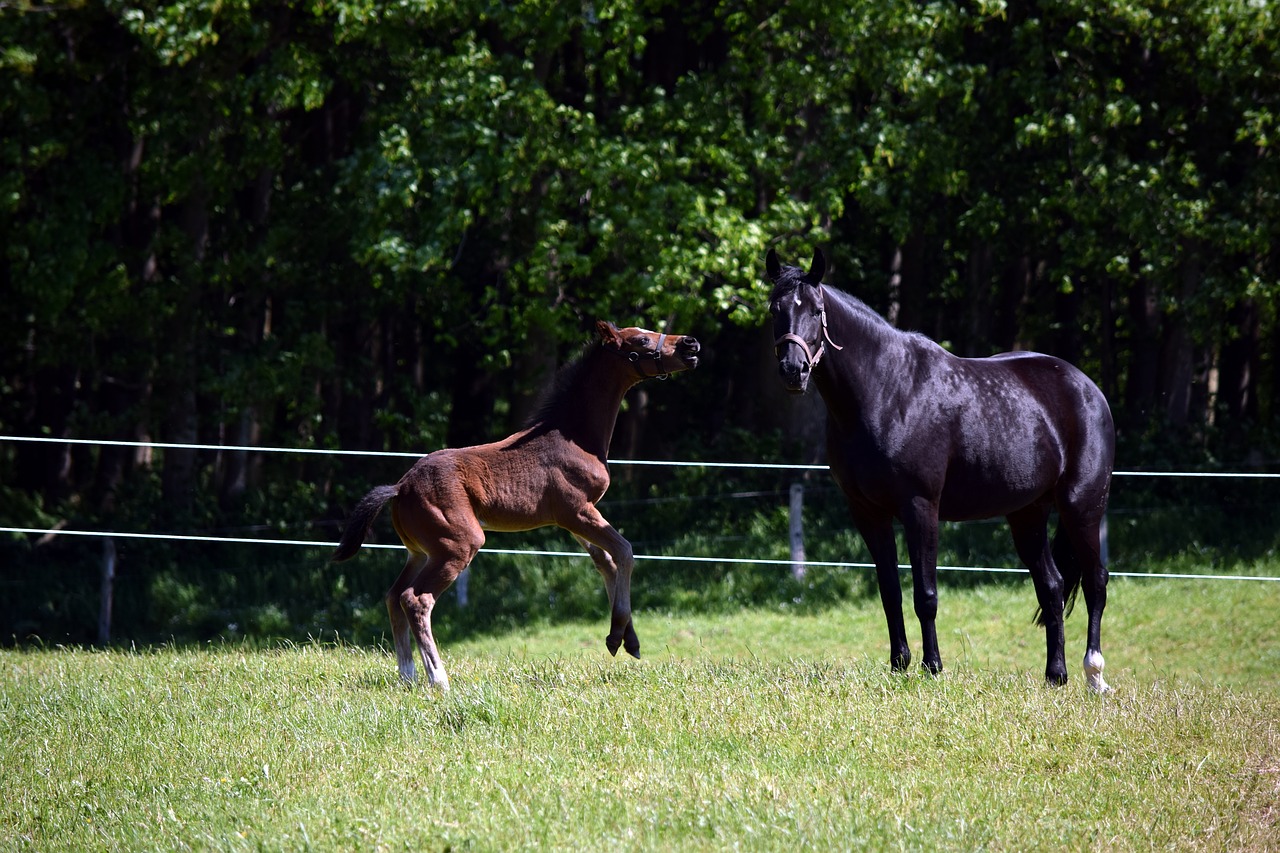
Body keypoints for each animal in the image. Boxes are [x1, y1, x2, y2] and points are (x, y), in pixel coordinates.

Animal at [330, 318, 701, 686]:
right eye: (642, 340)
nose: (690, 344)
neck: (573, 437)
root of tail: (400, 486)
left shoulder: (575, 518)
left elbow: (605, 562)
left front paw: (627, 640)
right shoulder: (576, 511)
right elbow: (624, 552)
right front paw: (616, 637)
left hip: (421, 551)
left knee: (394, 596)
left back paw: (408, 676)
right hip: (458, 544)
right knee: (416, 600)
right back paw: (438, 679)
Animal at [762, 247, 1116, 691]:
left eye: (814, 310)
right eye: (775, 309)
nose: (793, 370)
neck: (886, 390)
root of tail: (1088, 388)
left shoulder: (921, 508)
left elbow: (925, 594)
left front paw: (932, 667)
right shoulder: (868, 514)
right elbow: (890, 592)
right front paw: (899, 664)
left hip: (1081, 507)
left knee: (1096, 581)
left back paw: (1095, 674)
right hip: (1027, 515)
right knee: (1051, 587)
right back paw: (1056, 675)